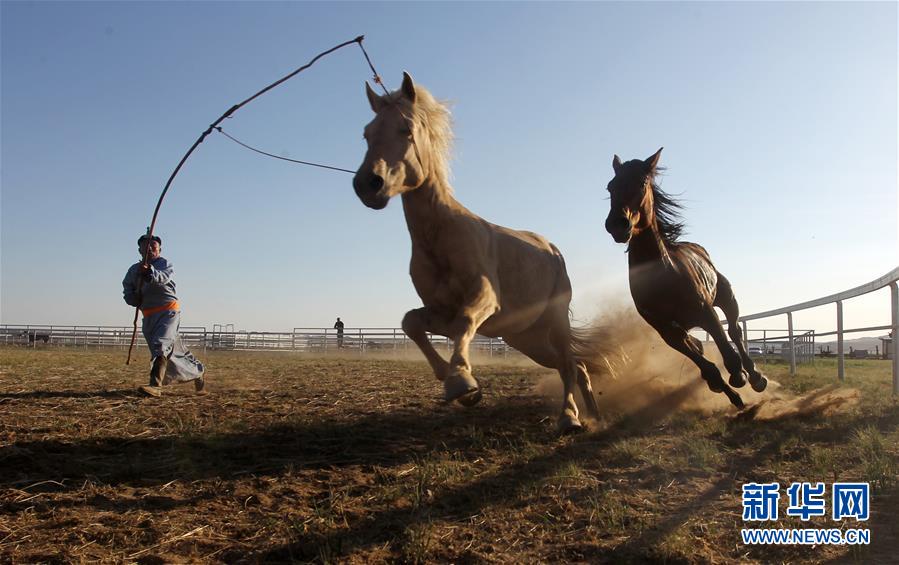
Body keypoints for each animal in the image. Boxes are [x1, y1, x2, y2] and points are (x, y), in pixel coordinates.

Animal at [352, 71, 612, 432]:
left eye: (406, 128)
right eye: (367, 133)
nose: (368, 184)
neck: (440, 237)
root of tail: (551, 248)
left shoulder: (485, 299)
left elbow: (464, 323)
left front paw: (462, 382)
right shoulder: (440, 312)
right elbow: (411, 323)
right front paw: (459, 386)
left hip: (555, 321)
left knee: (568, 366)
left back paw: (570, 418)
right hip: (525, 338)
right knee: (575, 366)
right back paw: (594, 416)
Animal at [604, 148, 768, 408]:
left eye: (641, 182)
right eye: (610, 186)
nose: (617, 224)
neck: (662, 278)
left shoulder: (706, 313)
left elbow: (728, 353)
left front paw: (742, 377)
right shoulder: (669, 332)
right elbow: (708, 368)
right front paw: (734, 396)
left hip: (726, 296)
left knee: (734, 331)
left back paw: (755, 376)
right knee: (704, 348)